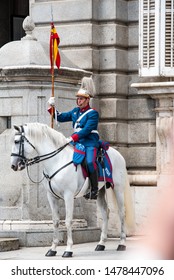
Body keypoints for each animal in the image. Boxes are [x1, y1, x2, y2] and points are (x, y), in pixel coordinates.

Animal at [10, 122, 135, 258]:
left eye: (17, 141)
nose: (13, 165)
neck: (57, 161)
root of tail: (118, 154)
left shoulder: (68, 196)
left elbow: (68, 221)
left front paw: (68, 249)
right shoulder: (51, 197)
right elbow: (55, 221)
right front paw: (52, 248)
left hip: (118, 188)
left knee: (122, 213)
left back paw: (122, 243)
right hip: (100, 191)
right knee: (105, 212)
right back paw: (101, 243)